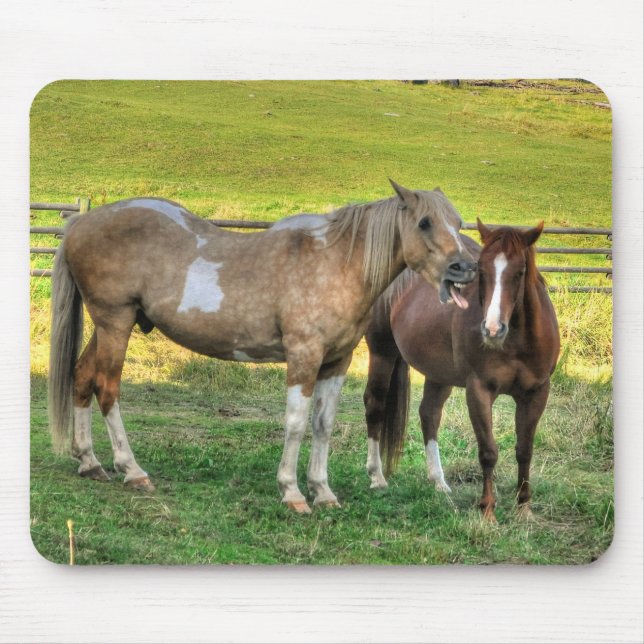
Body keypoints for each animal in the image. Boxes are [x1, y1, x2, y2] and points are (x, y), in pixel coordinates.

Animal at [48, 180, 477, 514]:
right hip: (115, 322)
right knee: (107, 388)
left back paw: (90, 462)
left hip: (111, 325)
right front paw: (292, 492)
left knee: (82, 377)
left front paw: (323, 491)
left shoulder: (336, 362)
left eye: (458, 224)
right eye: (424, 222)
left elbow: (323, 425)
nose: (465, 269)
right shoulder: (304, 356)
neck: (336, 263)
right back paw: (132, 470)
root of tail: (81, 222)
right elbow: (296, 423)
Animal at [363, 219, 560, 521]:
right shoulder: (479, 391)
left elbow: (525, 449)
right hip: (382, 352)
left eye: (520, 271)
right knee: (375, 405)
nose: (492, 329)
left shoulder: (537, 392)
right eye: (482, 270)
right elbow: (488, 451)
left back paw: (439, 482)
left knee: (429, 414)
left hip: (439, 374)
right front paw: (487, 510)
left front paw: (524, 507)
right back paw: (377, 477)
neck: (516, 341)